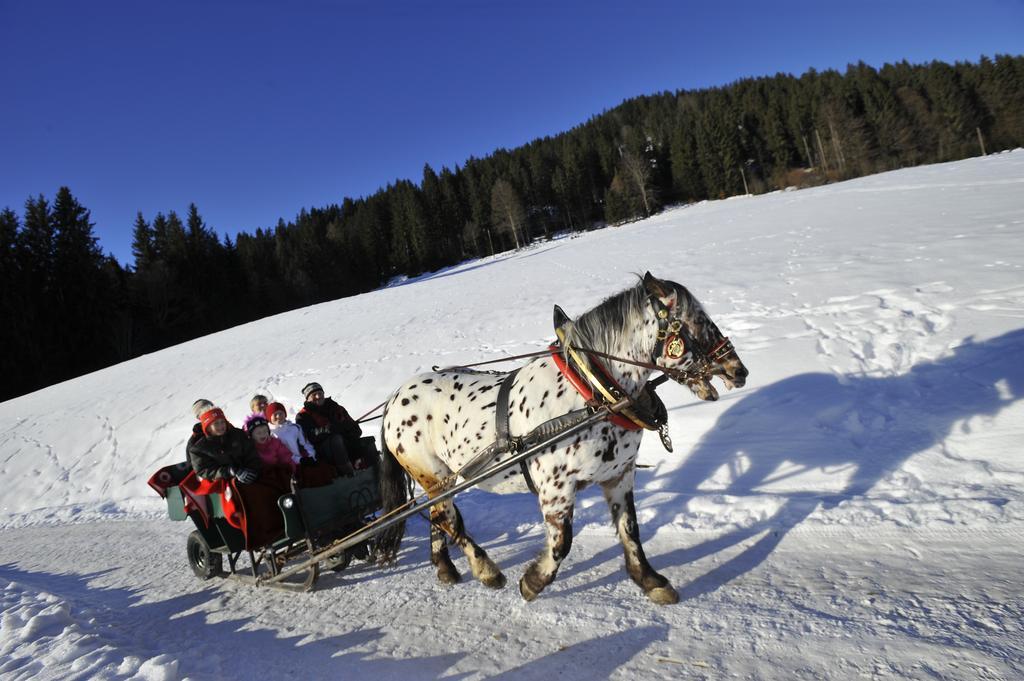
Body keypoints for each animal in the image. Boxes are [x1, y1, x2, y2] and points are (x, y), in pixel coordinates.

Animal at [372, 270, 749, 602]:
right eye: (697, 320)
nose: (739, 370)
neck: (591, 392)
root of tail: (392, 400)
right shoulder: (556, 489)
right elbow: (561, 543)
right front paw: (532, 583)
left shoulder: (619, 476)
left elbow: (630, 529)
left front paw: (650, 581)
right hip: (433, 475)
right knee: (449, 520)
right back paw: (486, 570)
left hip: (441, 481)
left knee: (439, 518)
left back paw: (446, 569)